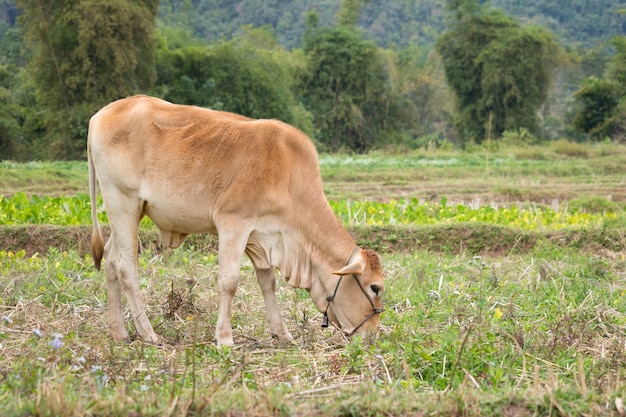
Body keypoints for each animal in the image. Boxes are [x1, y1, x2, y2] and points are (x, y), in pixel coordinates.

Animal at [86, 94, 382, 344]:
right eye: (375, 288)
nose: (372, 335)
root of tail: (101, 114)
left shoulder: (261, 237)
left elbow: (267, 283)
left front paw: (282, 334)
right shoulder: (233, 223)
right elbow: (229, 282)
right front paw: (225, 338)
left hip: (124, 213)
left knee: (111, 261)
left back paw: (119, 332)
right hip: (123, 203)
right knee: (126, 267)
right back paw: (148, 333)